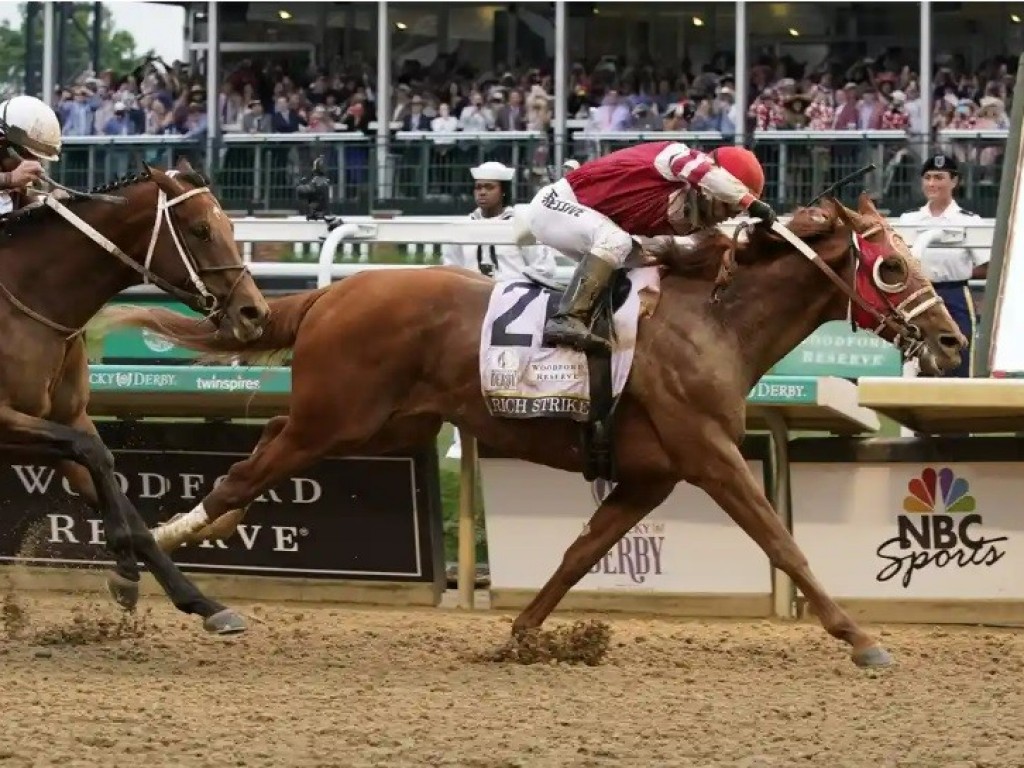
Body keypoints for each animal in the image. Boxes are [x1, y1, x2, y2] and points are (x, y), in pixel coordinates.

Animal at [0, 159, 268, 634]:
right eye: (200, 229)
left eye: (231, 226)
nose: (254, 312)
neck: (28, 299)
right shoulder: (8, 422)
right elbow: (95, 455)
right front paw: (124, 564)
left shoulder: (62, 422)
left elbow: (110, 479)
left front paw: (200, 602)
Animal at [101, 193, 958, 667]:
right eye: (891, 269)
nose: (951, 341)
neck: (713, 319)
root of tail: (331, 295)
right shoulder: (709, 454)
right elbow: (783, 542)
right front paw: (861, 638)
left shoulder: (652, 474)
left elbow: (580, 553)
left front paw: (519, 634)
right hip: (335, 418)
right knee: (244, 472)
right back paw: (159, 550)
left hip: (374, 425)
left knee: (260, 456)